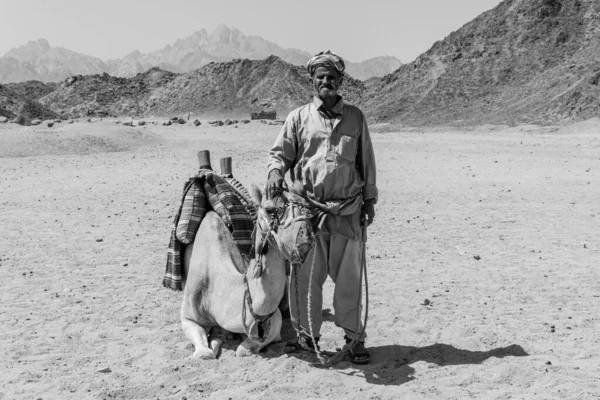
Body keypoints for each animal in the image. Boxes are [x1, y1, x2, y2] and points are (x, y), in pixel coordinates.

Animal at [182, 187, 316, 360]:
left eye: (305, 208)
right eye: (269, 209)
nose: (303, 240)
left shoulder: (273, 319)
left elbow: (243, 349)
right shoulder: (188, 315)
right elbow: (205, 353)